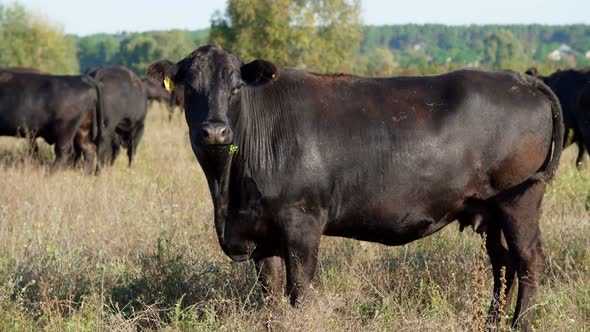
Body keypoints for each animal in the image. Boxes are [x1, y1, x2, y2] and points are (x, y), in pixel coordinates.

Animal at [150, 45, 568, 330]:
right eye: (190, 87)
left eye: (236, 86)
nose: (215, 131)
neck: (227, 191)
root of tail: (524, 79)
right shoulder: (261, 234)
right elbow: (270, 292)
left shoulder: (302, 225)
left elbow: (300, 290)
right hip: (490, 210)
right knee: (503, 262)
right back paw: (492, 321)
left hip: (519, 201)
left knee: (528, 259)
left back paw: (520, 324)